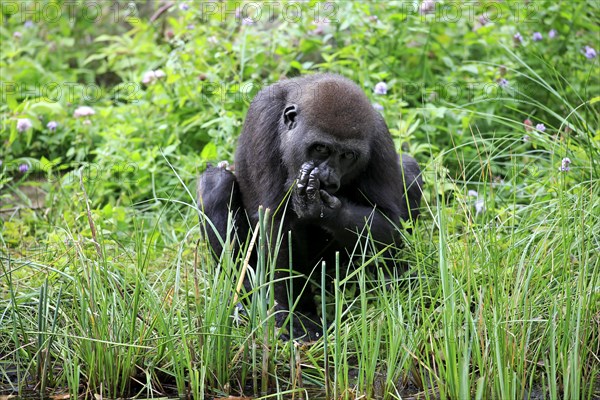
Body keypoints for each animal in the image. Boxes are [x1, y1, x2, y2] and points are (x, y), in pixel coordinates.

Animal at [197, 73, 422, 340]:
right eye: (321, 148)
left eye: (348, 155)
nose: (327, 179)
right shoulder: (264, 116)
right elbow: (278, 223)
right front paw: (296, 317)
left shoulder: (379, 135)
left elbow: (390, 222)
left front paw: (326, 211)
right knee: (216, 184)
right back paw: (245, 296)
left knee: (409, 169)